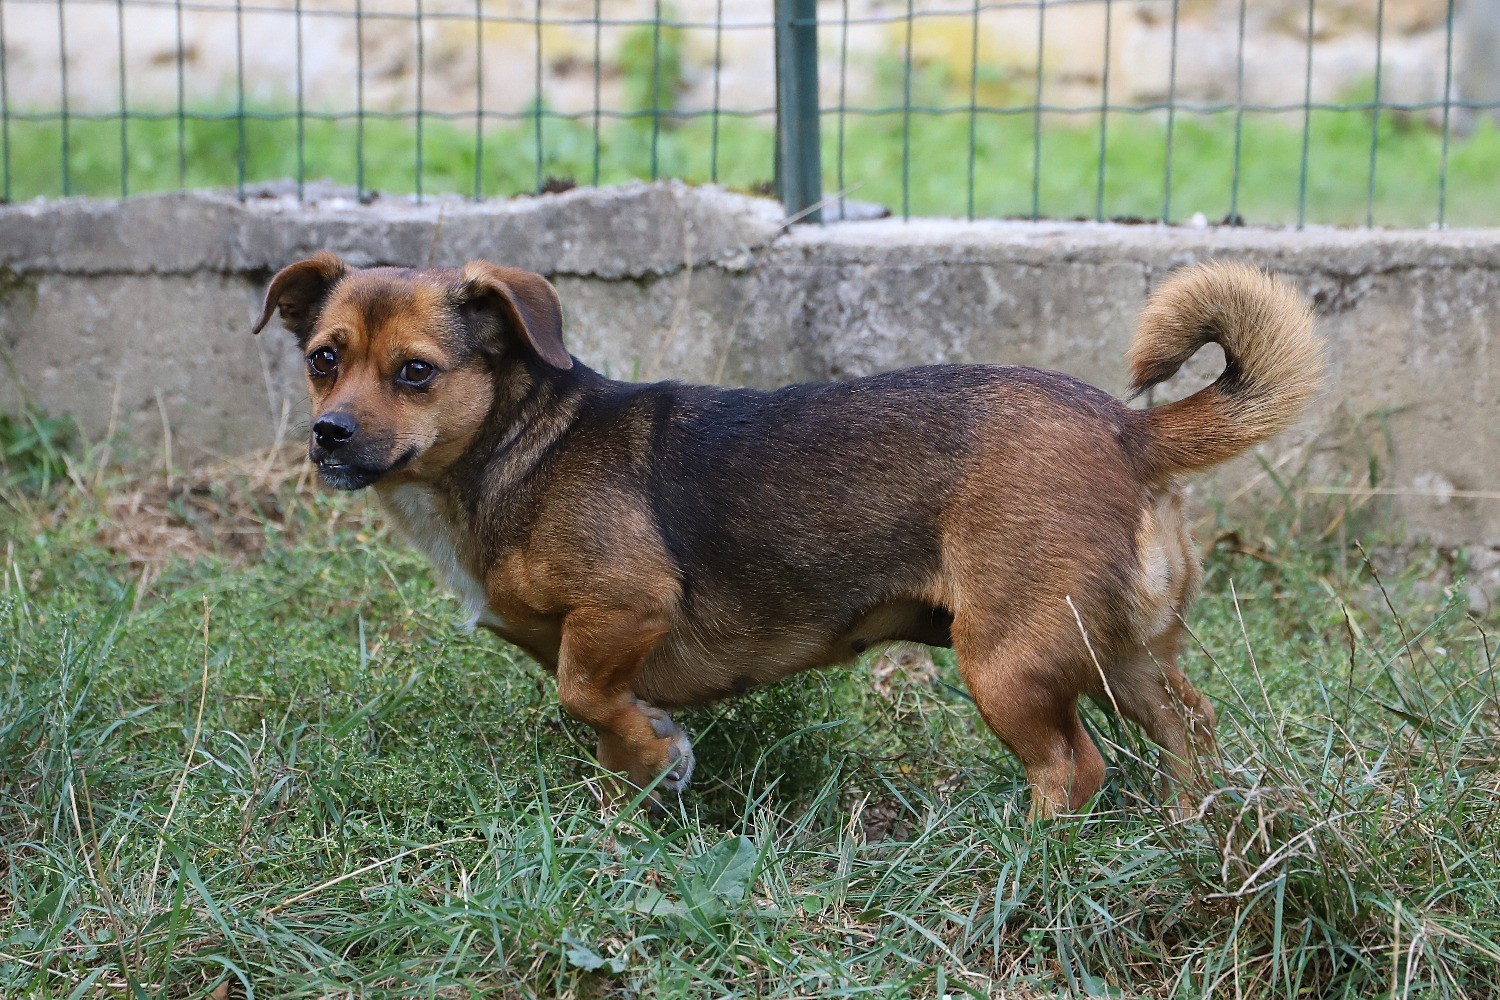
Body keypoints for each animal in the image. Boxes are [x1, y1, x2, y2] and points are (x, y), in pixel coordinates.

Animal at [252, 256, 1320, 821]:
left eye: (416, 372)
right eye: (324, 360)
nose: (328, 434)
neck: (518, 446)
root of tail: (1129, 429)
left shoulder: (625, 605)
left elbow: (584, 692)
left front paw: (656, 758)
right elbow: (599, 722)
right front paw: (633, 797)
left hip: (1008, 660)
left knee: (1074, 768)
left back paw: (1033, 855)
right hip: (1123, 655)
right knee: (1189, 728)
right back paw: (1186, 827)